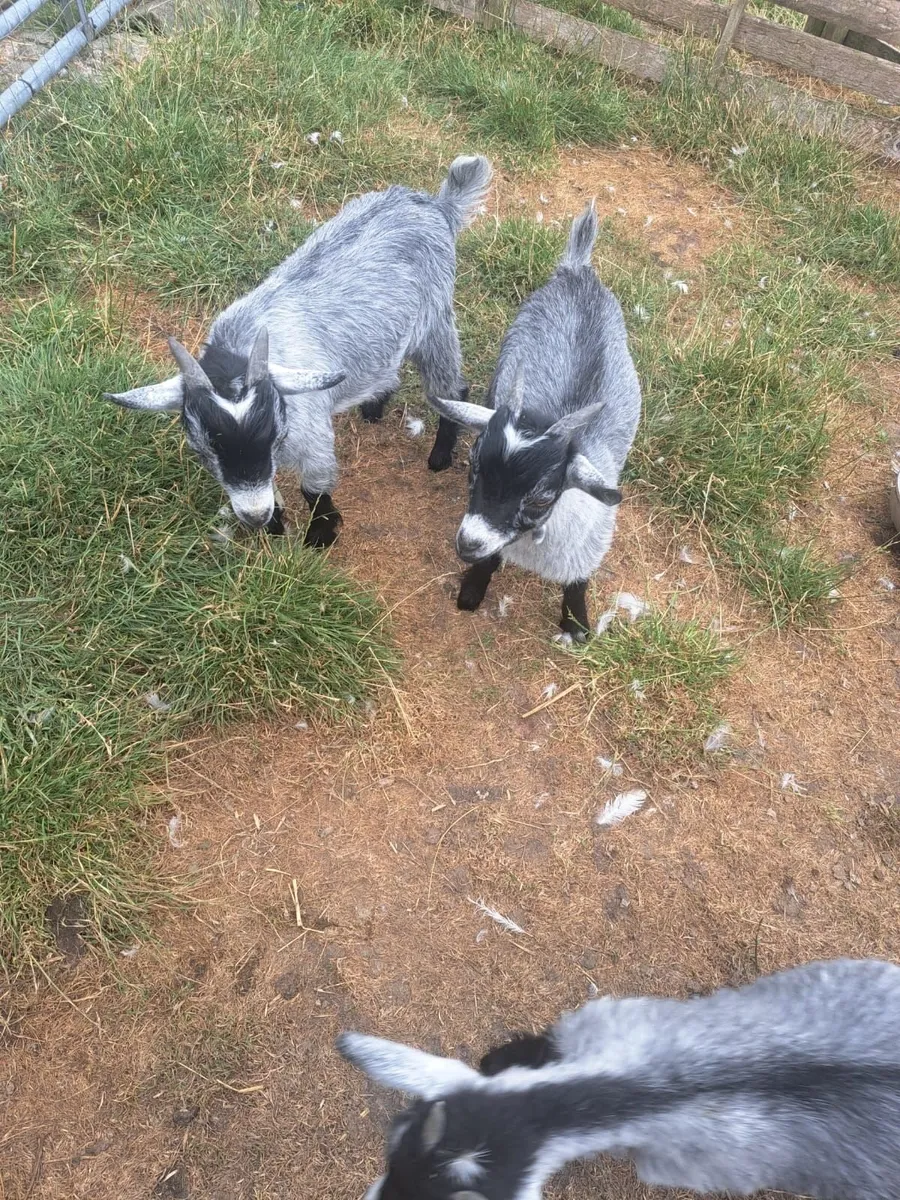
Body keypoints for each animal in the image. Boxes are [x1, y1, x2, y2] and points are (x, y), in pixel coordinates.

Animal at [105, 155, 493, 546]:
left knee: (450, 387)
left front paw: (319, 535)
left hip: (435, 322)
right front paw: (276, 525)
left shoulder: (311, 433)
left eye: (274, 434)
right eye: (203, 449)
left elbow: (315, 488)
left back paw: (439, 455)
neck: (241, 346)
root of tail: (434, 204)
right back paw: (373, 406)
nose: (255, 516)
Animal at [428, 202, 640, 640]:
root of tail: (577, 272)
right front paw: (472, 591)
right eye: (472, 466)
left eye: (542, 497)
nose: (468, 543)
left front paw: (576, 626)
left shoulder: (589, 544)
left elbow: (578, 583)